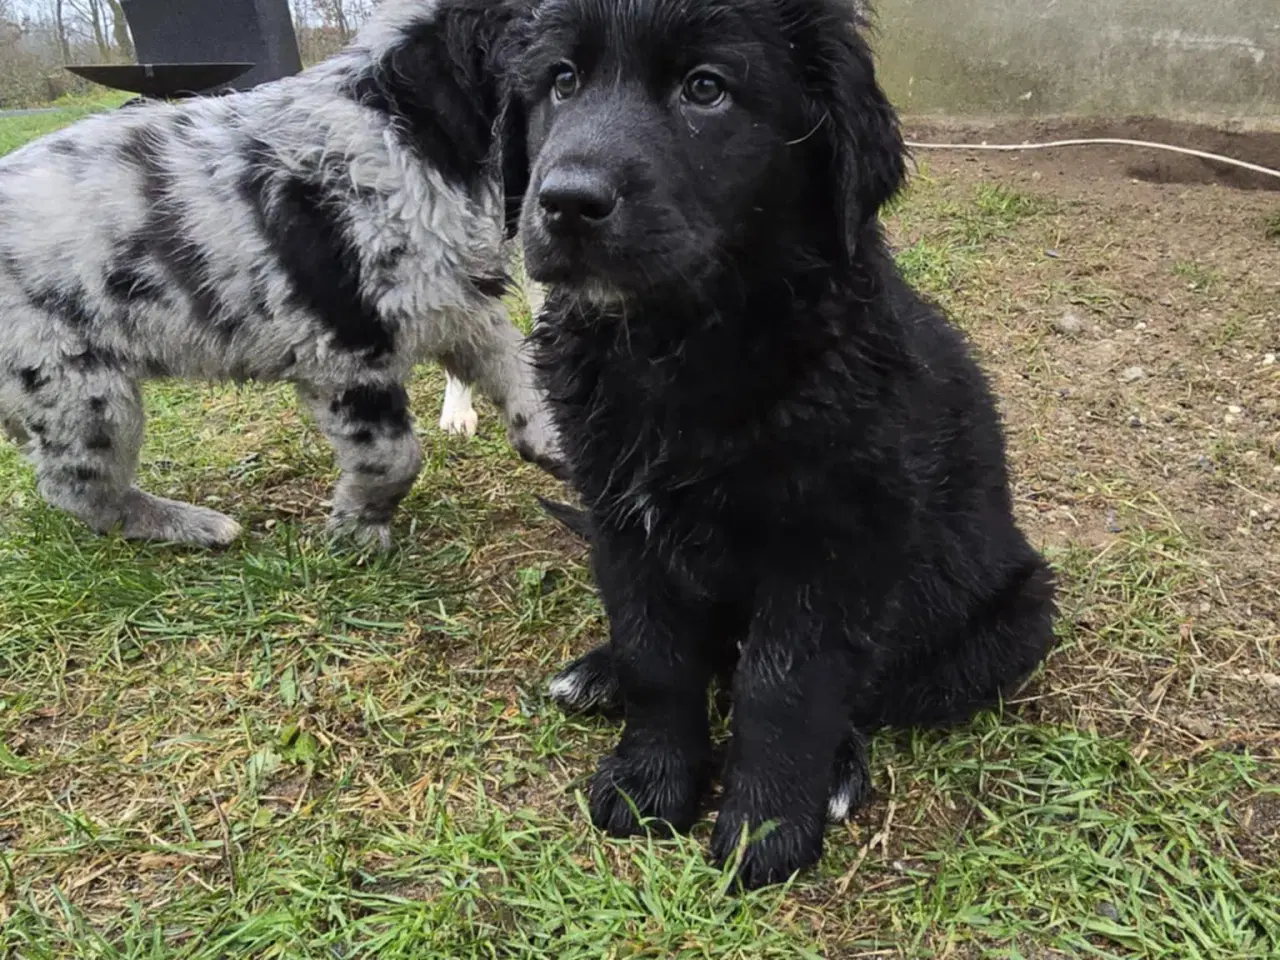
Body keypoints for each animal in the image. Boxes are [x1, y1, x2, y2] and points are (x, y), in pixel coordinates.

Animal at [0, 0, 555, 547]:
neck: (411, 130)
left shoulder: (463, 309)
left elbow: (525, 383)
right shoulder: (348, 354)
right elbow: (393, 456)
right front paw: (359, 531)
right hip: (80, 392)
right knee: (79, 491)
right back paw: (196, 525)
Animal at [509, 0, 1059, 896]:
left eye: (706, 89)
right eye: (562, 81)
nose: (564, 203)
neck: (682, 344)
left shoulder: (833, 542)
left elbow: (785, 686)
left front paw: (764, 826)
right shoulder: (619, 517)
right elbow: (655, 651)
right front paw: (651, 779)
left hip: (1013, 617)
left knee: (860, 689)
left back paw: (834, 768)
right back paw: (598, 674)